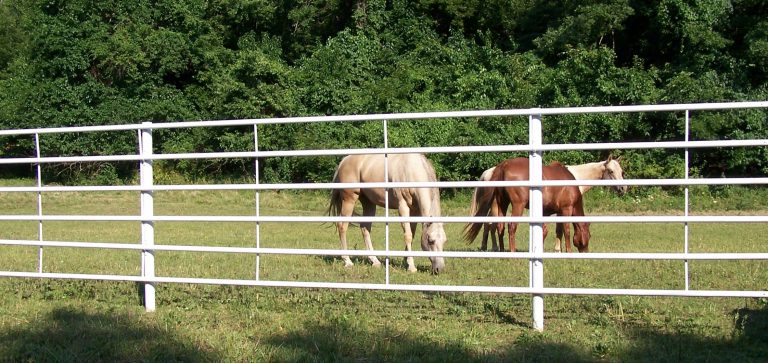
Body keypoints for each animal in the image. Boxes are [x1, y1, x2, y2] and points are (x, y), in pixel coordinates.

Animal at [472, 156, 628, 253]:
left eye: (622, 172)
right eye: (611, 171)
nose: (623, 188)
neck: (575, 177)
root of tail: (501, 166)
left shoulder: (548, 211)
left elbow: (549, 231)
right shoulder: (565, 209)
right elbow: (565, 230)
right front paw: (564, 250)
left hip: (501, 203)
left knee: (496, 226)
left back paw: (497, 249)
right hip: (514, 205)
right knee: (503, 226)